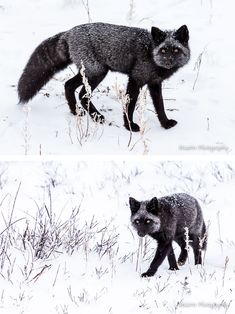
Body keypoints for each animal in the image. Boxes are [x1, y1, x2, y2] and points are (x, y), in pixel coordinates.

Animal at [18, 22, 191, 131]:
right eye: (163, 50)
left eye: (176, 50)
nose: (168, 61)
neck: (150, 52)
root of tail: (69, 32)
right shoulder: (135, 79)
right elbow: (130, 105)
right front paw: (130, 126)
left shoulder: (155, 83)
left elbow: (160, 106)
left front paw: (165, 123)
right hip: (97, 73)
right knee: (82, 95)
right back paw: (97, 117)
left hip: (88, 73)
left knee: (68, 85)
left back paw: (75, 112)